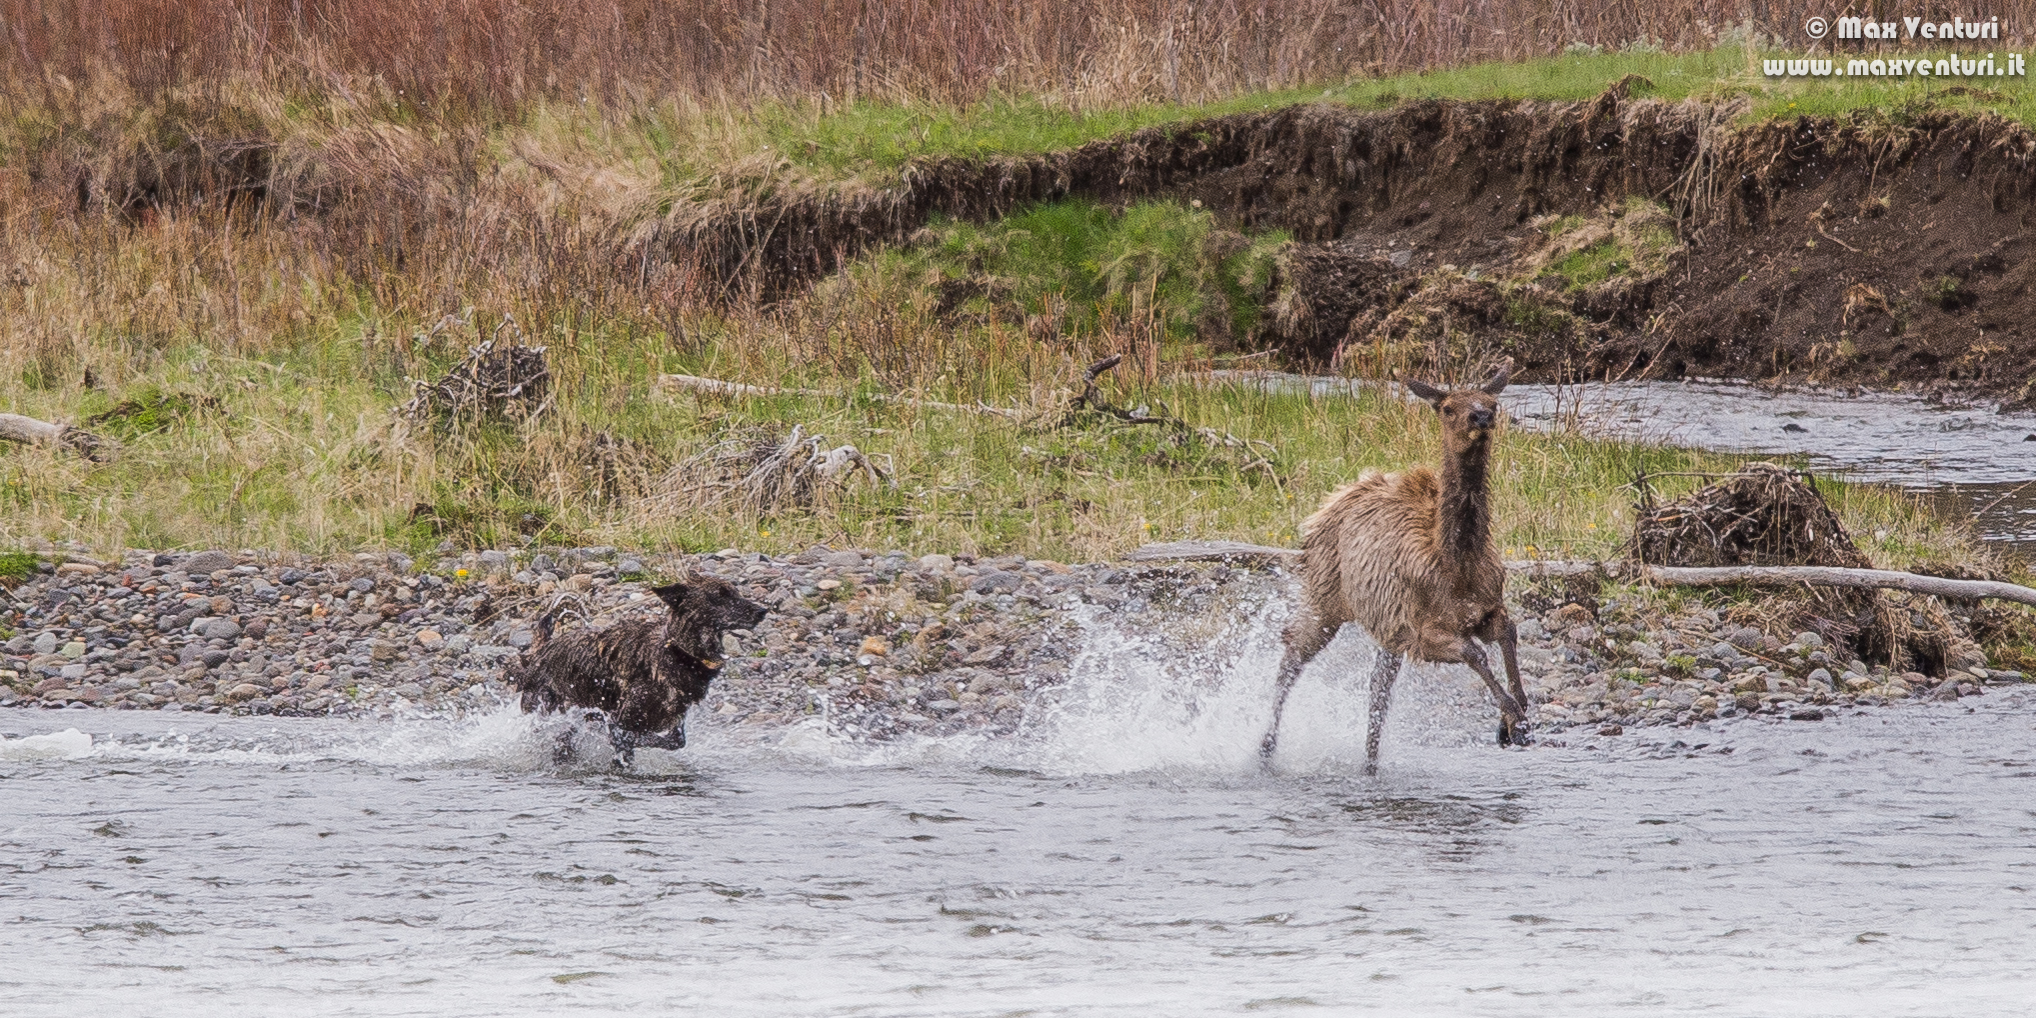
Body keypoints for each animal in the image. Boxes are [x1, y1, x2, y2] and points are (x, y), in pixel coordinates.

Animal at [1259, 361, 1530, 775]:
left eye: (1493, 402)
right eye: (1447, 407)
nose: (1482, 417)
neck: (1458, 566)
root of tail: (1330, 503)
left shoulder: (1486, 608)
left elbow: (1509, 634)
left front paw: (1513, 715)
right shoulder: (1422, 631)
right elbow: (1475, 654)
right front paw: (1513, 718)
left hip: (1385, 630)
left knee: (1377, 691)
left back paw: (1369, 762)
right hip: (1326, 598)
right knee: (1293, 650)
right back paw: (1266, 746)